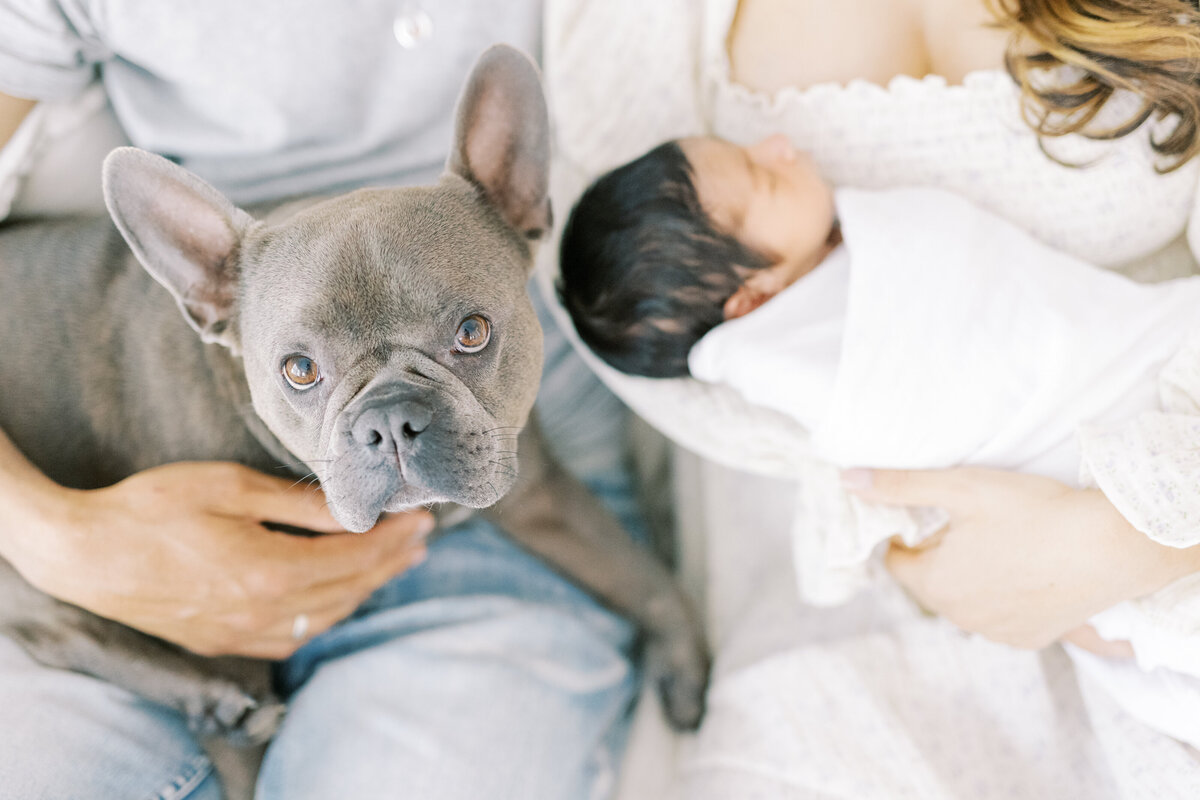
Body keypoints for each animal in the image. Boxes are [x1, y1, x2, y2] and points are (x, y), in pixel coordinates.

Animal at [0, 47, 705, 743]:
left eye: (473, 332)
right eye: (299, 369)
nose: (390, 420)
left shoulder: (537, 493)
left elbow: (637, 571)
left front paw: (685, 659)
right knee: (57, 628)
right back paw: (213, 698)